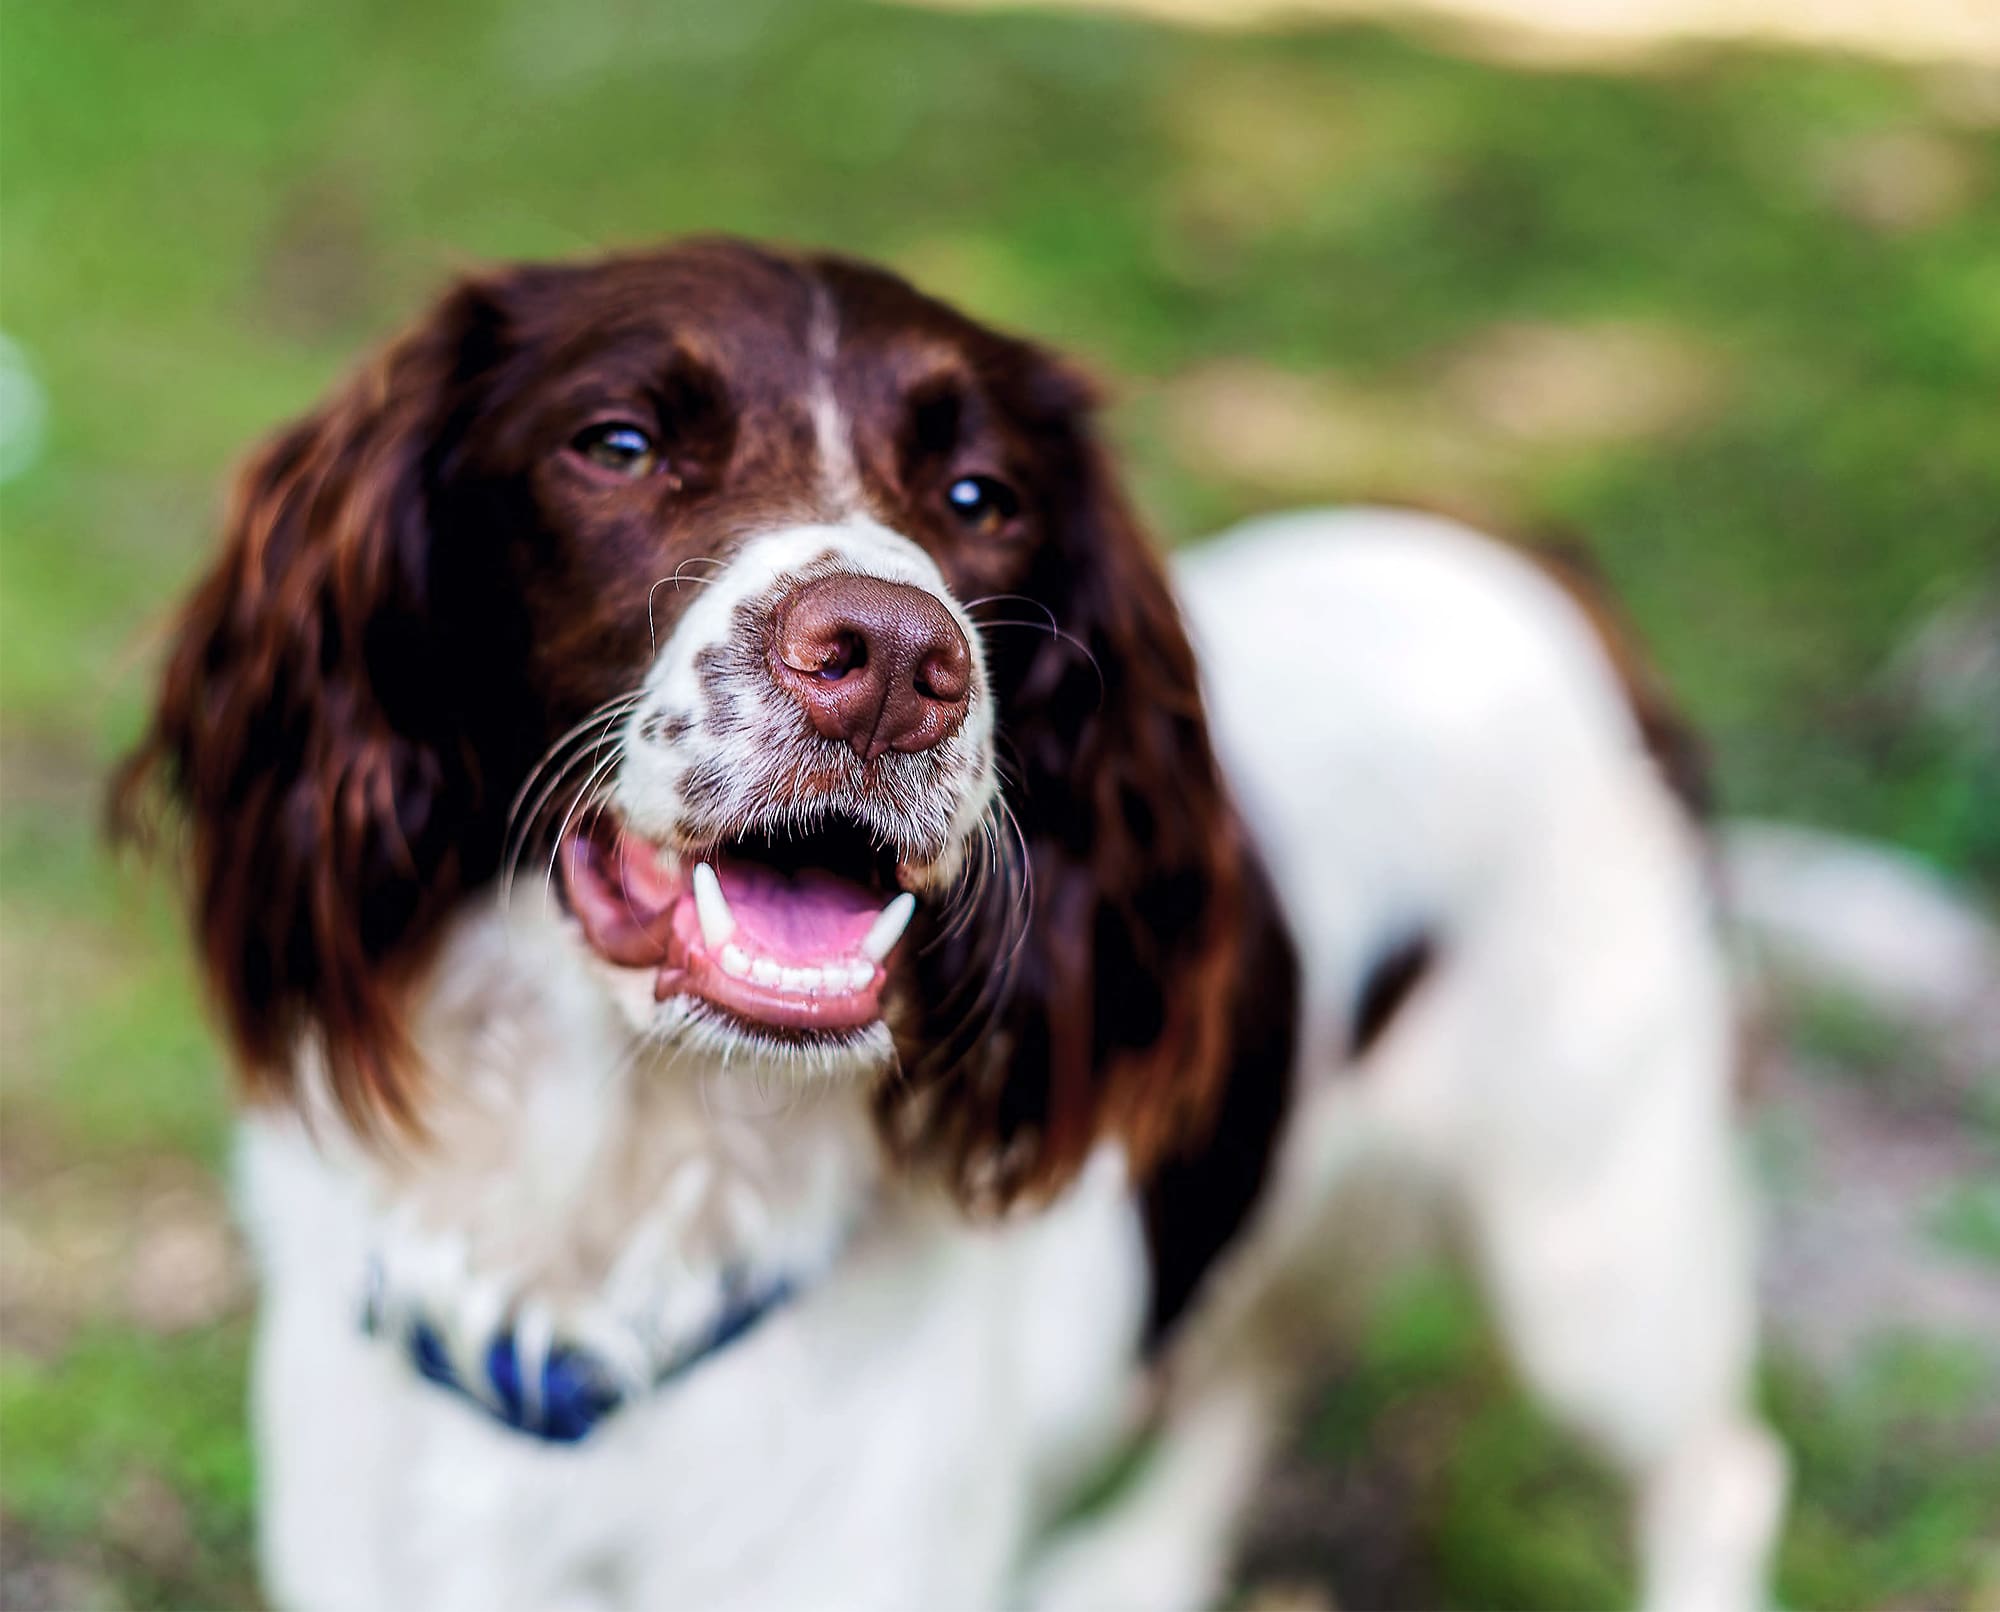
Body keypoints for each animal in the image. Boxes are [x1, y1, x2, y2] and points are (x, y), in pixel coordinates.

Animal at [117, 240, 1792, 1612]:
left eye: (983, 498)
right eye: (618, 445)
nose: (888, 658)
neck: (606, 1231)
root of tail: (1546, 579)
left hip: (1595, 1244)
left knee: (1722, 1472)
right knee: (1258, 1348)